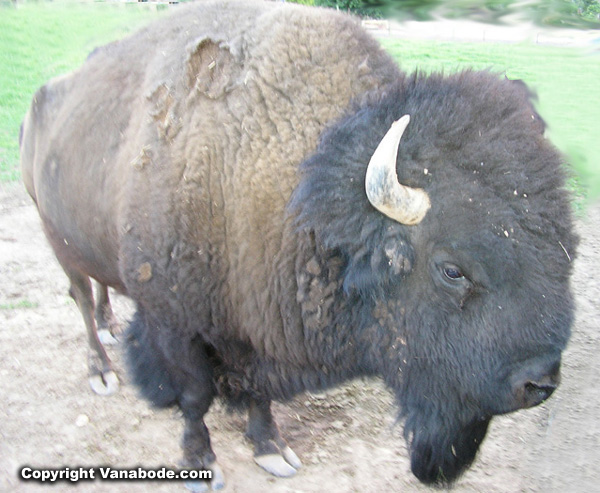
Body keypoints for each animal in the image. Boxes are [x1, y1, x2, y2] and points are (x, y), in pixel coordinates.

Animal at [22, 0, 576, 488]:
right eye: (452, 270)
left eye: (566, 246)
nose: (539, 384)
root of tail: (44, 99)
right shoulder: (174, 322)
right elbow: (194, 397)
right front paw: (201, 462)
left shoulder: (255, 330)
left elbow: (257, 392)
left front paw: (272, 450)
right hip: (52, 235)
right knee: (79, 295)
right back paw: (100, 369)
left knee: (97, 289)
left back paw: (110, 325)